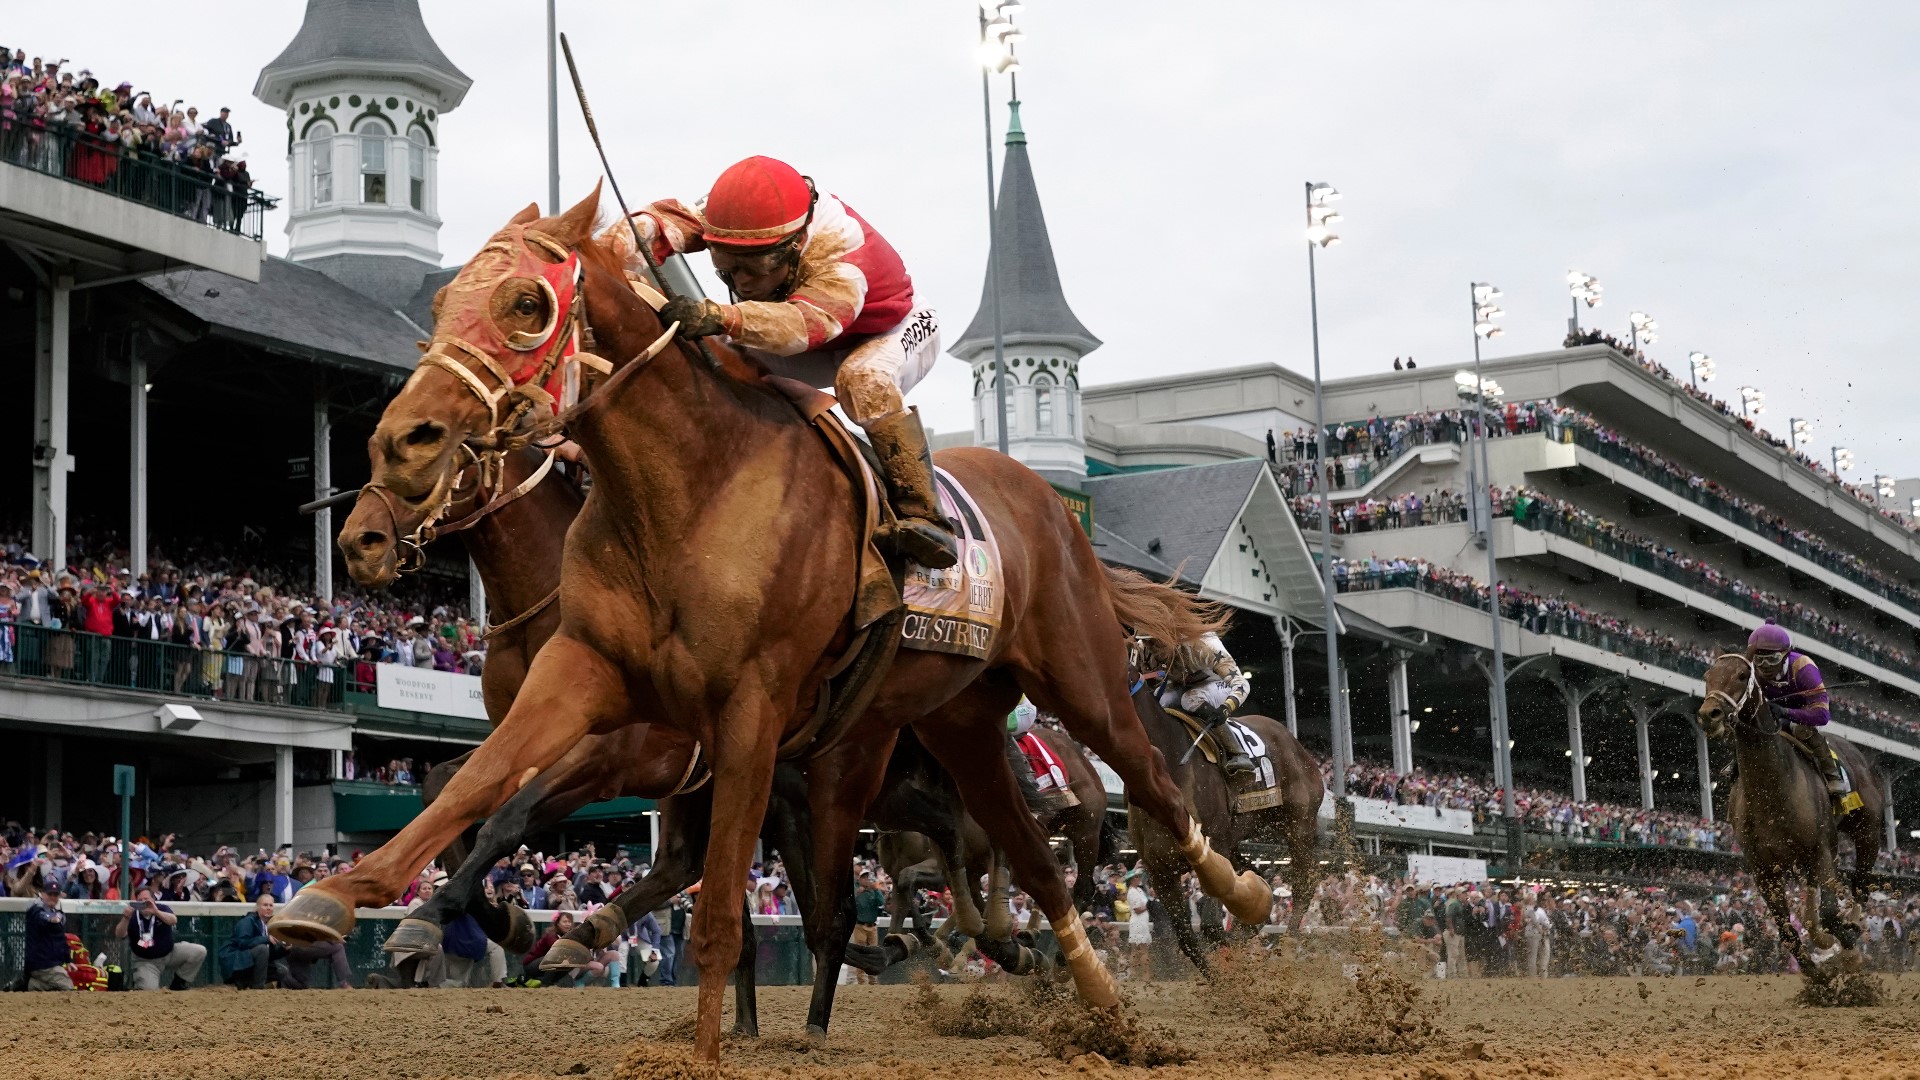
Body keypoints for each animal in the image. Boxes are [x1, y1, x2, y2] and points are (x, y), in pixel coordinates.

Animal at [263, 189, 1267, 1053]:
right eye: (441, 302)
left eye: (526, 302)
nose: (392, 461)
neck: (686, 495)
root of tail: (1051, 503)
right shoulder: (589, 681)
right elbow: (477, 791)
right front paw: (349, 901)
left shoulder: (715, 724)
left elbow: (700, 907)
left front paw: (700, 1036)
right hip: (958, 725)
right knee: (1027, 862)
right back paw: (1090, 999)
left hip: (1077, 682)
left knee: (1153, 797)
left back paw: (1241, 897)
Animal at [1704, 645, 1881, 968]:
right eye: (1707, 675)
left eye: (1741, 674)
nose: (1708, 714)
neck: (1771, 791)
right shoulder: (1762, 868)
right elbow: (1786, 930)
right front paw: (1819, 974)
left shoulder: (1822, 849)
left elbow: (1830, 914)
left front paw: (1847, 947)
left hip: (1867, 833)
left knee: (1860, 886)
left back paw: (1849, 926)